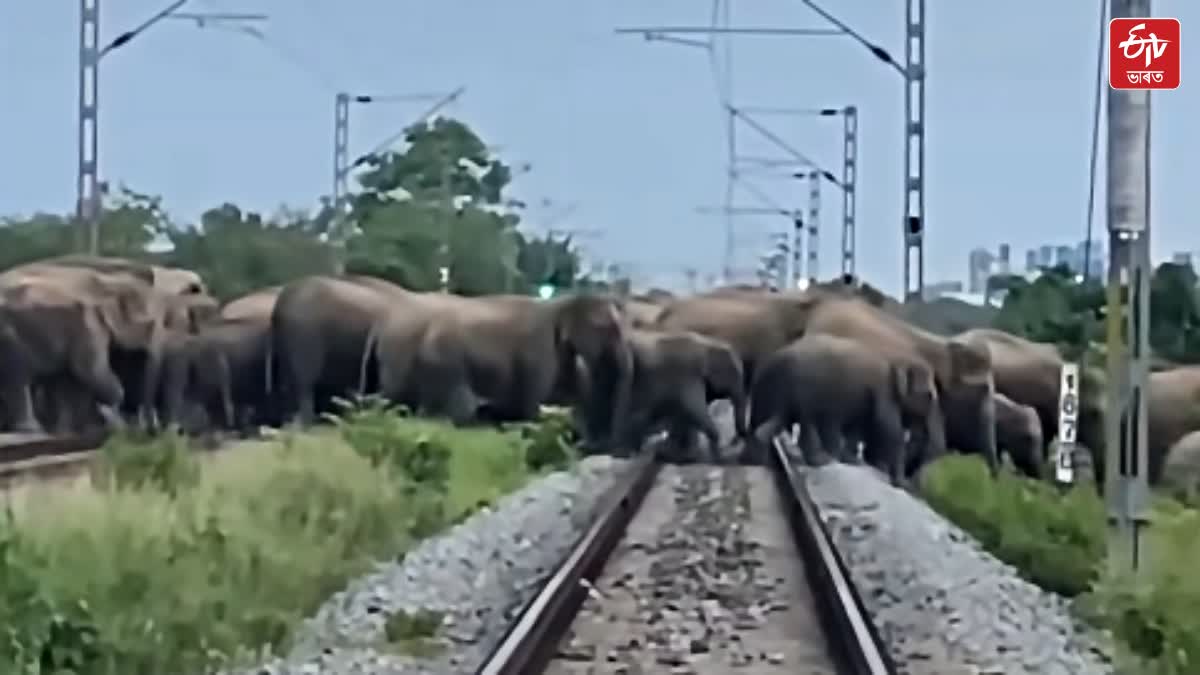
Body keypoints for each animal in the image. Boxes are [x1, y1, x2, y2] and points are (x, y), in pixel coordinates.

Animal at [747, 333, 941, 486]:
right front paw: (901, 483)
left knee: (777, 421)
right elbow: (889, 428)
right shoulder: (883, 388)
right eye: (929, 396)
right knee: (806, 420)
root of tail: (776, 356)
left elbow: (860, 425)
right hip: (802, 386)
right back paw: (820, 461)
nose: (911, 482)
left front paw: (853, 462)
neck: (900, 359)